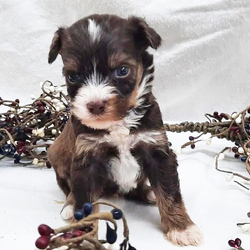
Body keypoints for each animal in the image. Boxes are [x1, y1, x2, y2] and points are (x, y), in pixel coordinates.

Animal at [47, 14, 203, 246]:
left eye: (122, 71)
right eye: (73, 76)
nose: (95, 105)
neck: (117, 123)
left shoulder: (157, 149)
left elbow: (170, 191)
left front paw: (182, 228)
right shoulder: (86, 158)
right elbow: (84, 201)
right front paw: (84, 234)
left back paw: (149, 193)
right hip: (57, 156)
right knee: (70, 189)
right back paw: (69, 205)